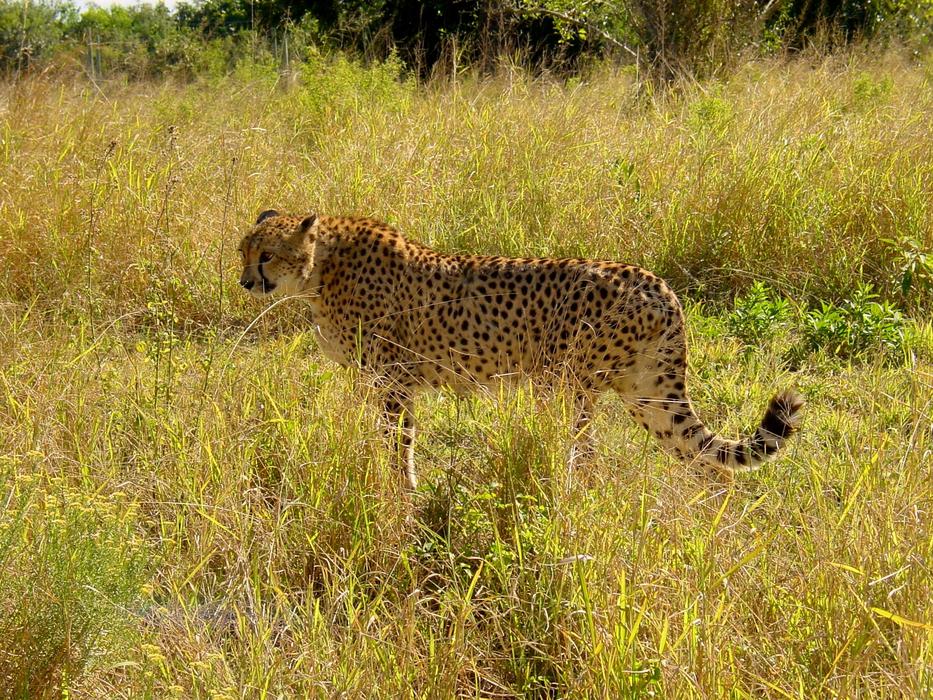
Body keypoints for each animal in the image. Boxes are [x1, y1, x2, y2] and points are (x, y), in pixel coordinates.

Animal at [238, 209, 803, 489]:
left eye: (267, 254)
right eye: (243, 251)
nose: (245, 282)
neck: (321, 267)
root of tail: (657, 283)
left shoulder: (393, 380)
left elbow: (399, 444)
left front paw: (401, 493)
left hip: (566, 383)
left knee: (584, 455)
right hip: (646, 394)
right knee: (706, 462)